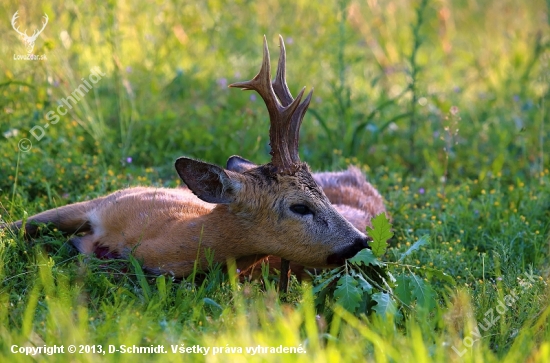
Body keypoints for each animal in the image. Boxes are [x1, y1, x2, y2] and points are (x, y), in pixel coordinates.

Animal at [9, 36, 388, 288]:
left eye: (322, 198)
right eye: (300, 206)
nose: (360, 241)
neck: (157, 235)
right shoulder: (108, 200)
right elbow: (17, 224)